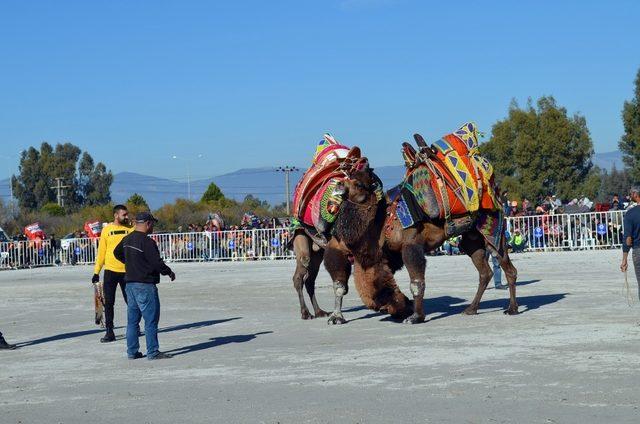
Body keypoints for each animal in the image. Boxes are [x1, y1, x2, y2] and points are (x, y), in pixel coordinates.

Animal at [322, 122, 516, 324]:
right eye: (347, 178)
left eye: (359, 184)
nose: (339, 186)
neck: (383, 220)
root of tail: (496, 193)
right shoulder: (376, 253)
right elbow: (360, 284)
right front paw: (337, 317)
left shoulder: (411, 243)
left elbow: (416, 282)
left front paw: (415, 316)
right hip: (472, 238)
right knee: (485, 271)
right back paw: (471, 309)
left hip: (493, 229)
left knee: (507, 266)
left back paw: (512, 309)